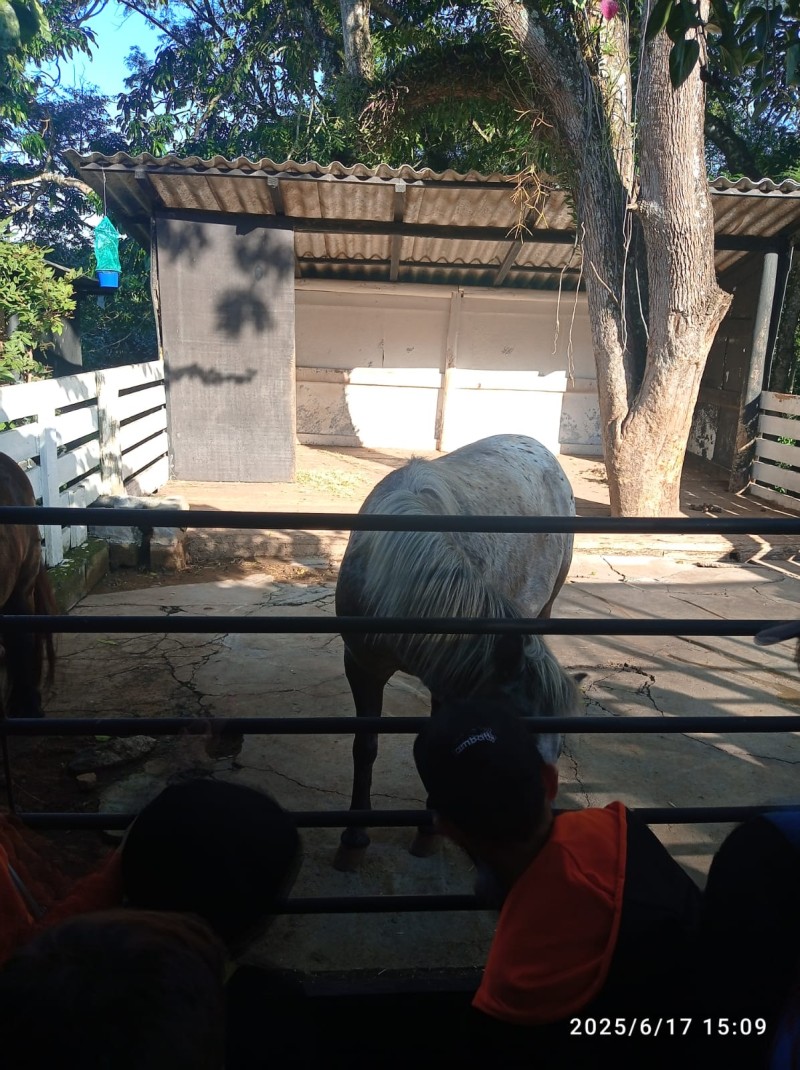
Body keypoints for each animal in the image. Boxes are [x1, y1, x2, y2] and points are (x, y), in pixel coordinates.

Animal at [334, 434, 582, 870]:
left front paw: (428, 834)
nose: (536, 846)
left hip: (548, 602)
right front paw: (354, 839)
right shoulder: (362, 666)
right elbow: (365, 747)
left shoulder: (449, 685)